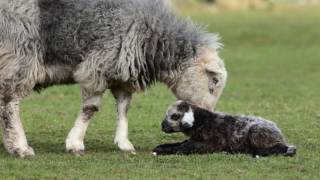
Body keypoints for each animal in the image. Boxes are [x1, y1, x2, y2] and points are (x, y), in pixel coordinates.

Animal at [0, 0, 228, 157]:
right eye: (214, 81)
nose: (208, 117)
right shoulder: (98, 65)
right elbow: (90, 109)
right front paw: (75, 143)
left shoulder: (121, 75)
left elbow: (124, 108)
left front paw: (124, 143)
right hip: (18, 54)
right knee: (11, 103)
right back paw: (21, 147)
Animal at [154, 100, 296, 157]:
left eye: (175, 116)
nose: (162, 126)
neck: (202, 122)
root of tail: (280, 135)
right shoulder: (194, 139)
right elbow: (178, 144)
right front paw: (160, 147)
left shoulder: (206, 144)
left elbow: (182, 148)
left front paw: (161, 151)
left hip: (256, 132)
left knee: (278, 148)